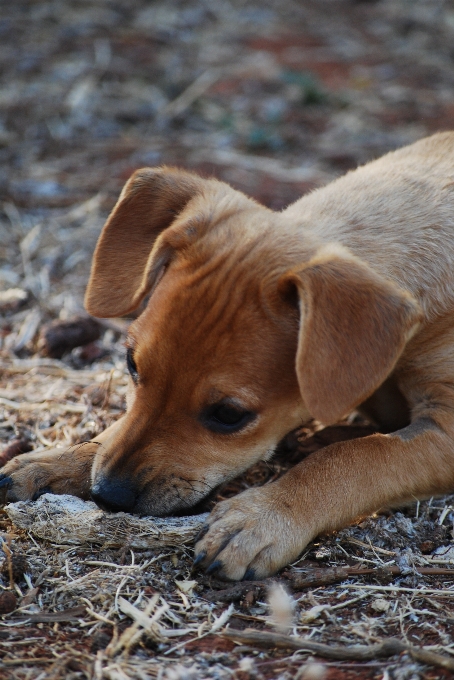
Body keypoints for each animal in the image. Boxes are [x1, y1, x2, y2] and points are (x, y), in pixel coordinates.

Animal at [2, 131, 454, 580]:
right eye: (131, 363)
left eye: (228, 414)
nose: (107, 496)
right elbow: (114, 433)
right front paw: (58, 461)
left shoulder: (444, 429)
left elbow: (359, 456)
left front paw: (262, 517)